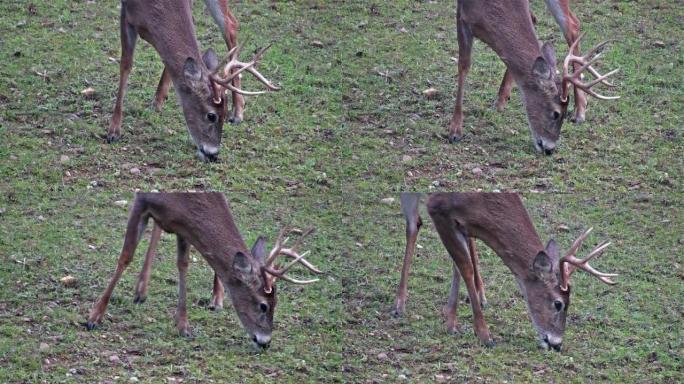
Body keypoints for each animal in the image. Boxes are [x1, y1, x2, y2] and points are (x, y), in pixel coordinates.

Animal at [85, 192, 320, 348]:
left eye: (276, 303)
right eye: (263, 306)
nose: (266, 341)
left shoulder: (183, 225)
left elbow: (183, 264)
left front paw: (183, 325)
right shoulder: (143, 200)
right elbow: (125, 257)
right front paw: (94, 317)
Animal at [108, 0, 280, 162]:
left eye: (224, 113)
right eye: (211, 116)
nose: (213, 155)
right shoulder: (126, 11)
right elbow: (126, 64)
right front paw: (114, 130)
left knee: (230, 23)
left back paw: (238, 113)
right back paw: (158, 100)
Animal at [392, 194, 616, 350]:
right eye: (558, 303)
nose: (557, 344)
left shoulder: (458, 221)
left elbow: (458, 264)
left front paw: (451, 322)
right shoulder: (439, 208)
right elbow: (465, 267)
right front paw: (484, 335)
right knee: (413, 224)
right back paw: (399, 304)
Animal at [448, 1, 620, 154]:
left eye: (564, 114)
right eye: (556, 113)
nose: (550, 149)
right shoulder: (462, 15)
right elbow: (463, 66)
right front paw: (455, 130)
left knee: (572, 24)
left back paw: (580, 113)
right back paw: (501, 100)